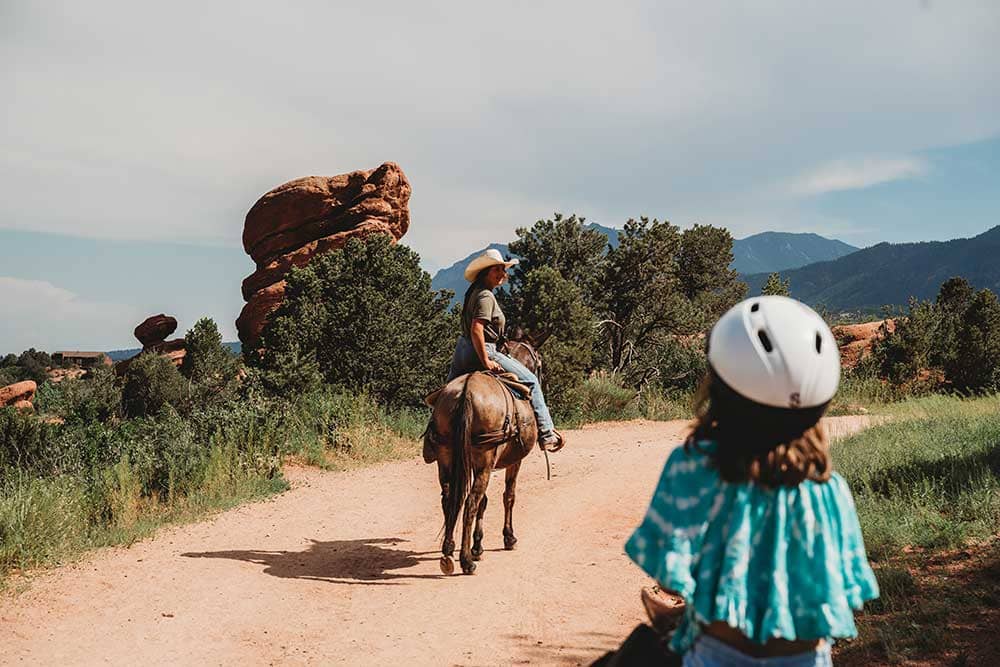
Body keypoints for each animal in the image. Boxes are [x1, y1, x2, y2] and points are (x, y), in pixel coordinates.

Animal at [422, 374, 540, 576]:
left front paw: (477, 546)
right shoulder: (511, 462)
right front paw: (508, 538)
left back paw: (448, 552)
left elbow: (483, 502)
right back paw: (466, 561)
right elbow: (509, 496)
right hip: (484, 459)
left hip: (446, 456)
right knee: (470, 503)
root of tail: (467, 390)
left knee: (450, 500)